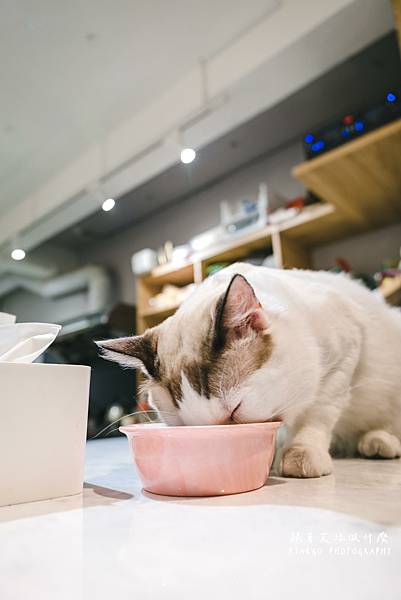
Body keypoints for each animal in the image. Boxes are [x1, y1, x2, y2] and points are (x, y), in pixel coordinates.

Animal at [97, 262, 400, 478]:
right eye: (188, 427)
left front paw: (300, 454)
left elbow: (317, 414)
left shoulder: (343, 353)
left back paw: (379, 442)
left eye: (235, 410)